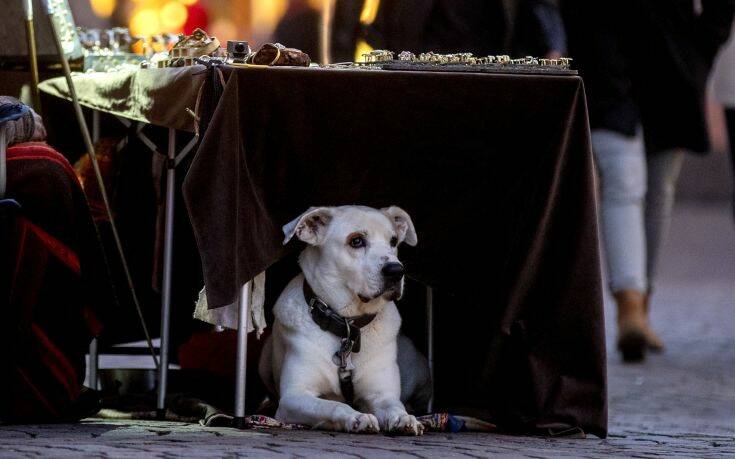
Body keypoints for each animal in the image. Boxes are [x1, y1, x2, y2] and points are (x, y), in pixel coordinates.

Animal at [258, 207, 432, 436]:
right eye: (356, 241)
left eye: (393, 241)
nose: (397, 270)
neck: (348, 326)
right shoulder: (294, 396)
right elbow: (333, 405)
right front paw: (356, 417)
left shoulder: (381, 394)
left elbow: (393, 405)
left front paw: (404, 418)